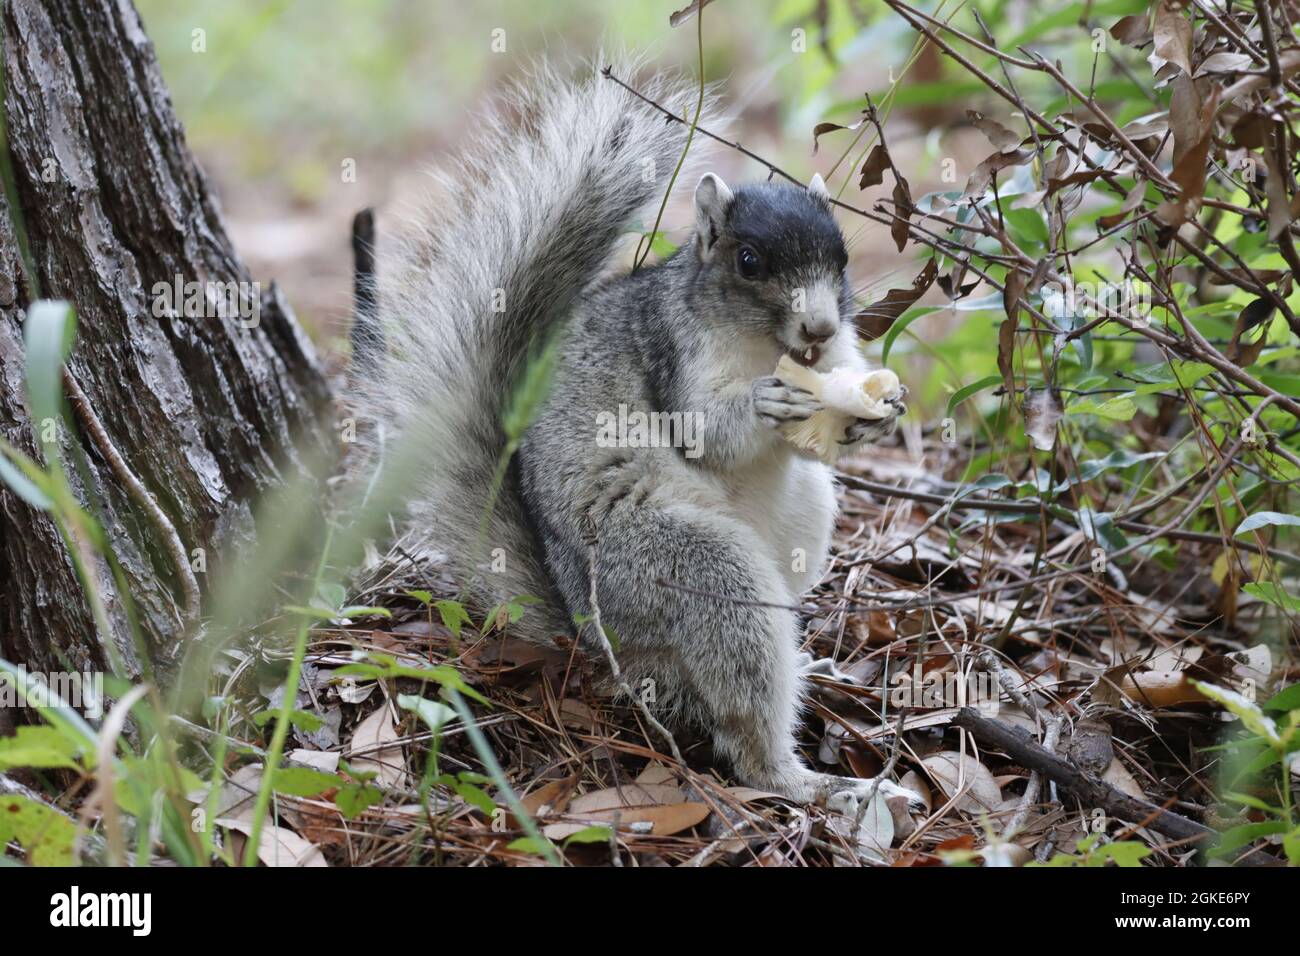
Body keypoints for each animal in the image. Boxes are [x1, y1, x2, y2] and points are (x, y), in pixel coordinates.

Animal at [348, 59, 919, 816]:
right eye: (749, 261)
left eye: (844, 257)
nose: (821, 330)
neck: (764, 347)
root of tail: (592, 638)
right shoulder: (673, 353)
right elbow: (705, 435)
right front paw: (765, 404)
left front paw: (878, 410)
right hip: (677, 571)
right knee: (742, 724)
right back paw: (810, 781)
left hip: (802, 518)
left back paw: (809, 660)